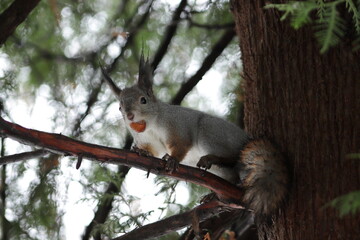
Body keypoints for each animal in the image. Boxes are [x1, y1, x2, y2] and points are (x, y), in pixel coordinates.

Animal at [100, 57, 288, 217]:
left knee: (234, 157)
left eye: (143, 100)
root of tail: (246, 141)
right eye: (119, 107)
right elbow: (152, 151)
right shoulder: (147, 140)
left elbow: (181, 144)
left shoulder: (177, 126)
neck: (150, 126)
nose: (130, 116)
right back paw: (214, 195)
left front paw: (173, 160)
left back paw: (213, 159)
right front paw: (141, 152)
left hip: (210, 132)